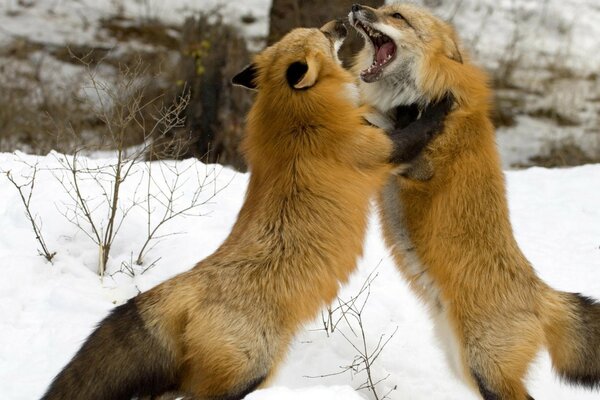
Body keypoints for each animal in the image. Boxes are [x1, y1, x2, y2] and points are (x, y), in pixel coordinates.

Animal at [39, 19, 450, 400]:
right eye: (323, 34)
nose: (340, 22)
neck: (296, 120)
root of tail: (184, 285)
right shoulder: (376, 150)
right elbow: (418, 130)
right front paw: (439, 104)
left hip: (179, 382)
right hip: (249, 372)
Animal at [350, 3, 600, 400]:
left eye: (398, 17)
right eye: (384, 8)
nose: (357, 7)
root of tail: (541, 294)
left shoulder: (415, 168)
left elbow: (385, 132)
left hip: (485, 367)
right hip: (464, 364)